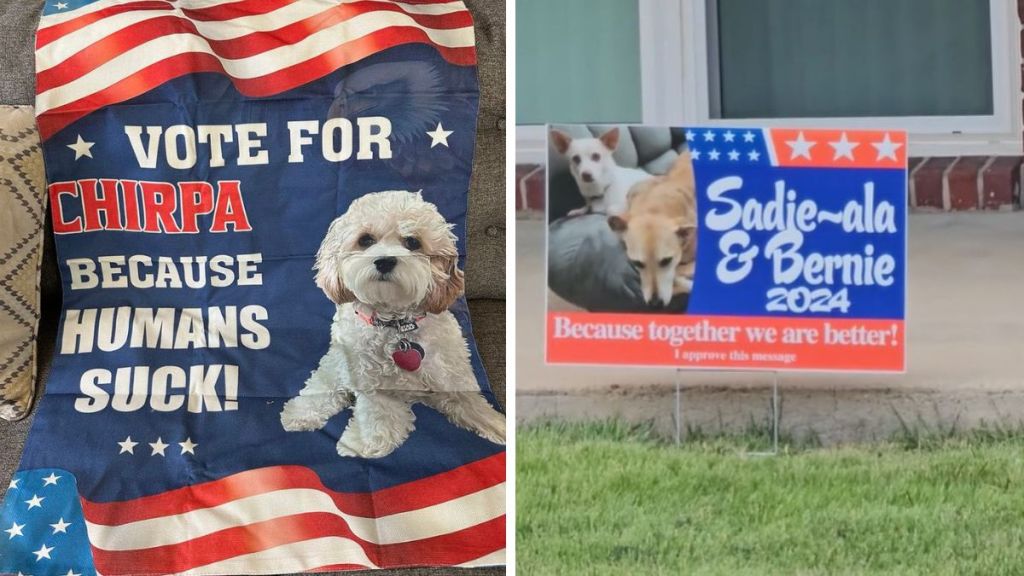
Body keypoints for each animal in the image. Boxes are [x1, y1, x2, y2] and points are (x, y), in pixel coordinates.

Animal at [278, 190, 505, 455]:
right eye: (365, 240)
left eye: (413, 242)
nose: (385, 261)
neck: (396, 325)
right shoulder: (372, 385)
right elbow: (380, 418)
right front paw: (363, 443)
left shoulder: (450, 375)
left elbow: (472, 403)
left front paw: (498, 426)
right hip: (337, 363)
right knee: (324, 383)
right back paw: (300, 413)